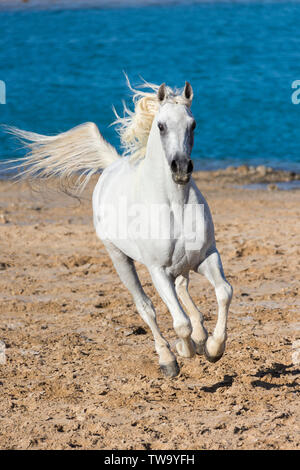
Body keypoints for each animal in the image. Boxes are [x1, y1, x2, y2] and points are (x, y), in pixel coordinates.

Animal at [5, 79, 233, 376]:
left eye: (192, 124)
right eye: (161, 125)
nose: (181, 168)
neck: (175, 205)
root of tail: (111, 165)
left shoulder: (207, 256)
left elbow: (224, 292)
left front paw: (214, 348)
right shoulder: (158, 270)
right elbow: (178, 322)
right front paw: (185, 350)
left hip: (182, 265)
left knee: (183, 287)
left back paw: (200, 336)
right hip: (119, 258)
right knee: (147, 307)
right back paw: (168, 359)